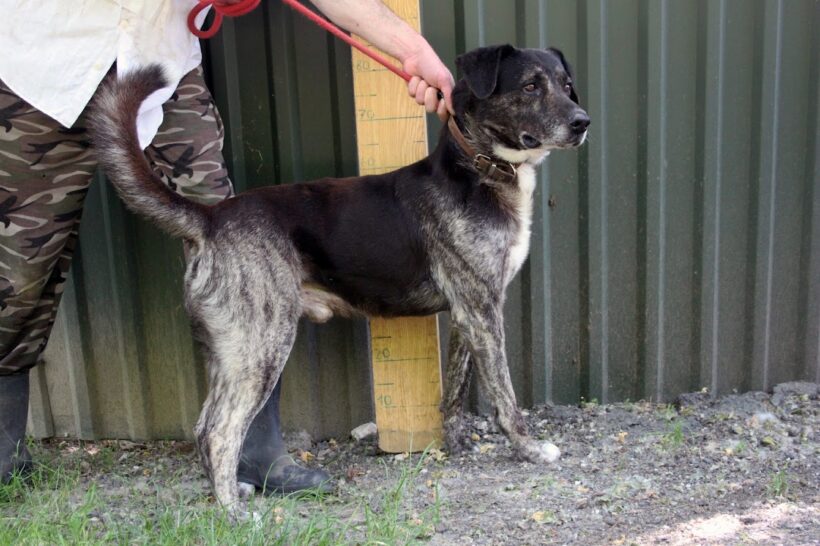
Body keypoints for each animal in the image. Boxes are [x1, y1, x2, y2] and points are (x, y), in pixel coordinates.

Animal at [91, 44, 588, 516]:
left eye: (567, 85)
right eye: (530, 86)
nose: (583, 122)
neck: (479, 166)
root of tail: (210, 219)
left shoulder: (469, 313)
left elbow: (455, 389)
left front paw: (456, 442)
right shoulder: (482, 311)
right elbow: (504, 394)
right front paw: (528, 448)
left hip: (230, 348)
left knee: (202, 425)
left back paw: (232, 492)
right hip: (262, 342)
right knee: (219, 430)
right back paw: (233, 512)